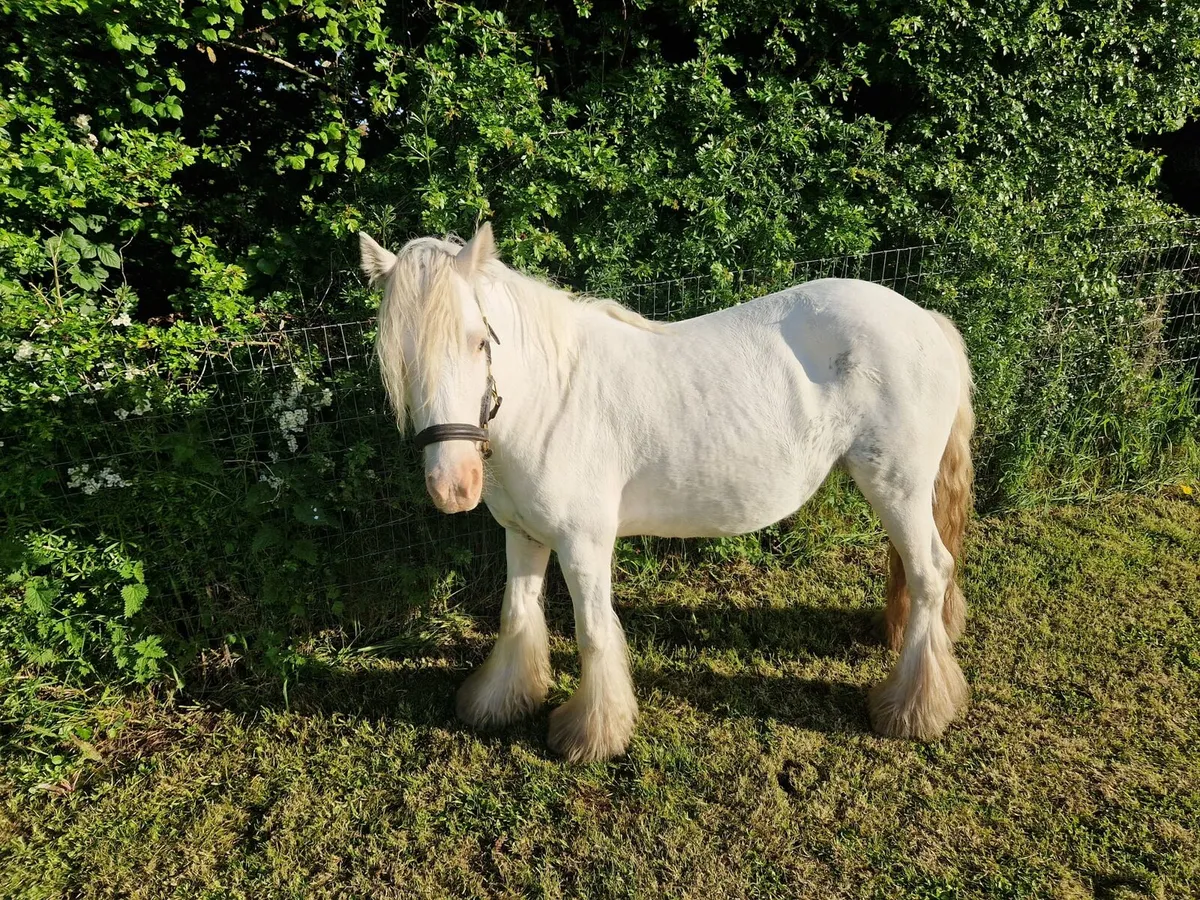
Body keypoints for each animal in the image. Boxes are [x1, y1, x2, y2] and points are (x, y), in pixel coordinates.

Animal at [360, 223, 974, 763]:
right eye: (399, 358)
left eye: (479, 341)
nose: (452, 485)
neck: (551, 400)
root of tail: (923, 320)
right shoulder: (523, 534)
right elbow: (516, 615)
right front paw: (499, 702)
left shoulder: (583, 546)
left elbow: (593, 633)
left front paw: (591, 735)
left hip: (896, 487)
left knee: (931, 572)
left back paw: (912, 709)